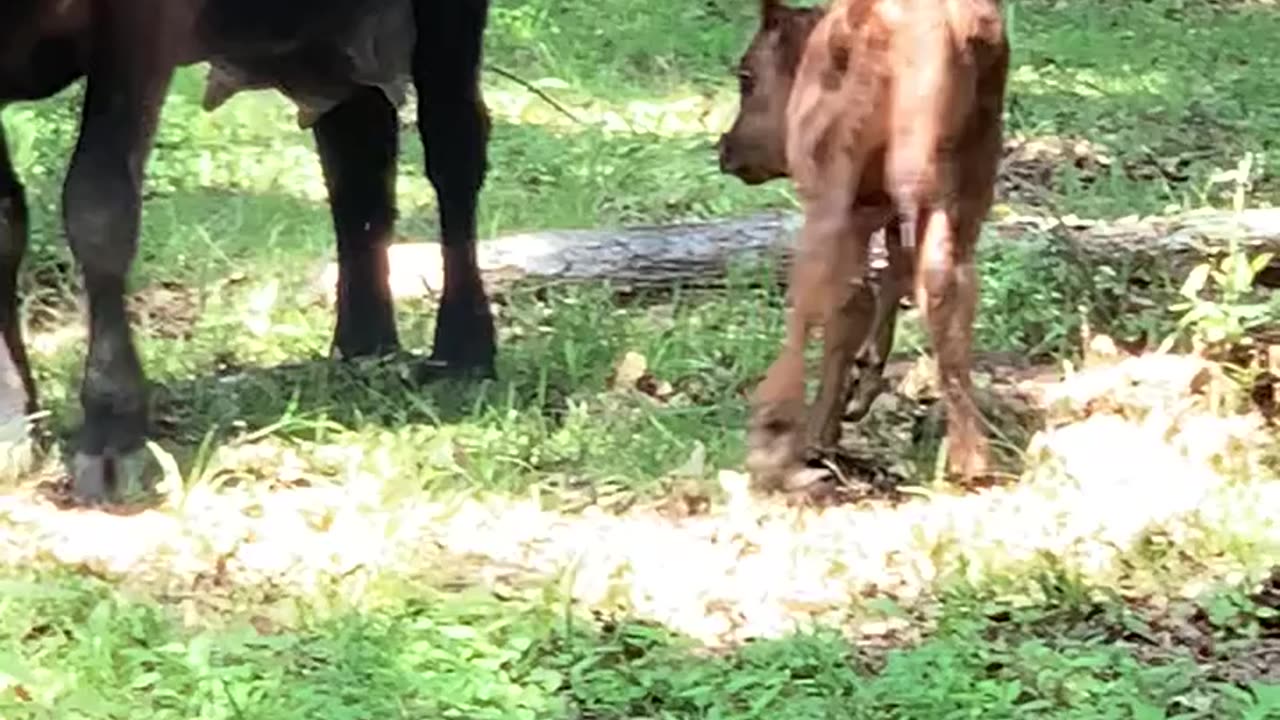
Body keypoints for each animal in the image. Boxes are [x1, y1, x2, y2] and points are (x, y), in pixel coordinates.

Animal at [0, 0, 496, 502]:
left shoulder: (138, 28)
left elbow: (99, 208)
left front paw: (111, 430)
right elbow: (6, 225)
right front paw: (15, 424)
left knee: (453, 146)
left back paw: (464, 349)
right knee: (357, 160)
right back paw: (364, 346)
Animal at [721, 0, 1008, 489]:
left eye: (747, 75)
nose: (726, 148)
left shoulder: (847, 202)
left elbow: (850, 302)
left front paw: (822, 432)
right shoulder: (886, 210)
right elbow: (889, 284)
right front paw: (860, 391)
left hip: (836, 190)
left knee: (817, 297)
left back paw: (774, 438)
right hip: (965, 182)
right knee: (947, 287)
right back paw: (971, 457)